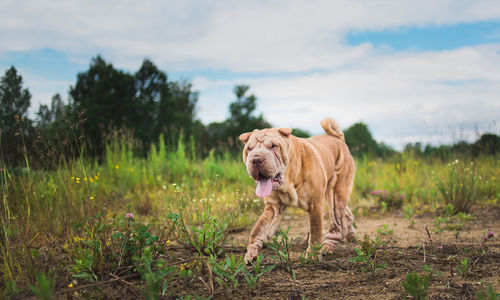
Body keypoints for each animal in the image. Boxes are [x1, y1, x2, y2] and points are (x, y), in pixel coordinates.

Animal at [239, 117, 354, 262]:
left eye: (273, 146)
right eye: (249, 149)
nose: (256, 159)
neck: (289, 178)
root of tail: (338, 139)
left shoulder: (315, 204)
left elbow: (316, 231)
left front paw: (313, 255)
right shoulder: (273, 207)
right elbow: (259, 228)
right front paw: (251, 252)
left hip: (335, 192)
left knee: (337, 222)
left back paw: (328, 246)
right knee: (346, 214)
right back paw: (350, 234)